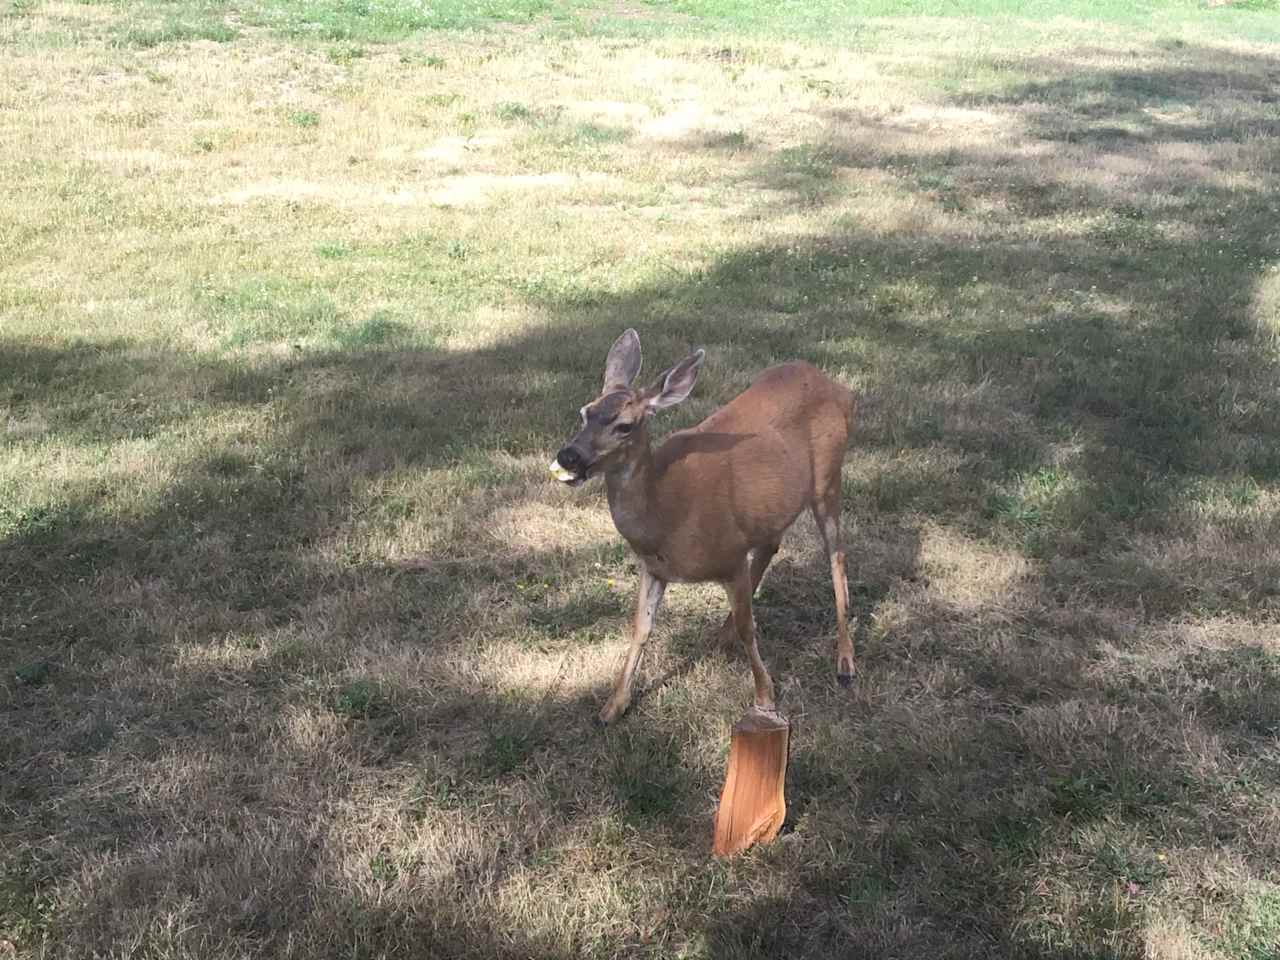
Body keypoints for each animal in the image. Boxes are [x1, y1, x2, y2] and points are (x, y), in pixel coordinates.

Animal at [552, 327, 860, 727]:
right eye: (584, 412)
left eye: (625, 425)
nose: (568, 456)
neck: (667, 513)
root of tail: (841, 389)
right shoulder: (654, 568)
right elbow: (640, 628)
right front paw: (613, 706)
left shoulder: (731, 556)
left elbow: (749, 627)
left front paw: (765, 698)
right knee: (772, 544)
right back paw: (720, 635)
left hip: (828, 479)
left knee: (836, 555)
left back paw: (845, 662)